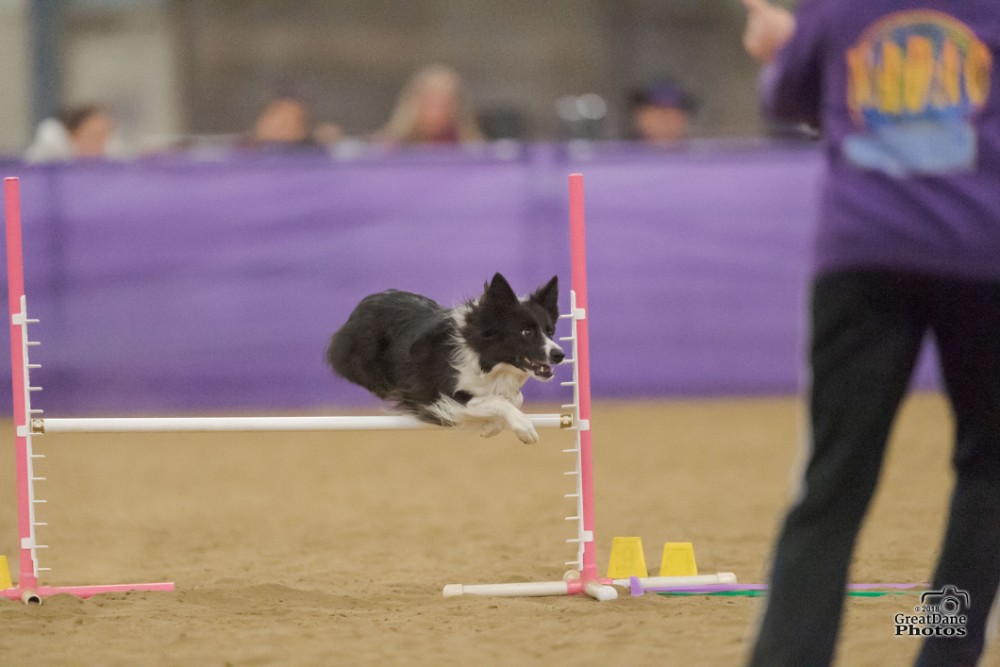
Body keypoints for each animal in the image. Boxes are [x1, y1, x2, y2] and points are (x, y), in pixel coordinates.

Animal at [326, 273, 564, 443]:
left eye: (550, 331)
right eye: (526, 332)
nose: (559, 355)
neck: (485, 359)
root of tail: (365, 303)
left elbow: (514, 398)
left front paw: (491, 427)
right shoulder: (438, 396)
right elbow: (497, 401)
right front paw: (524, 428)